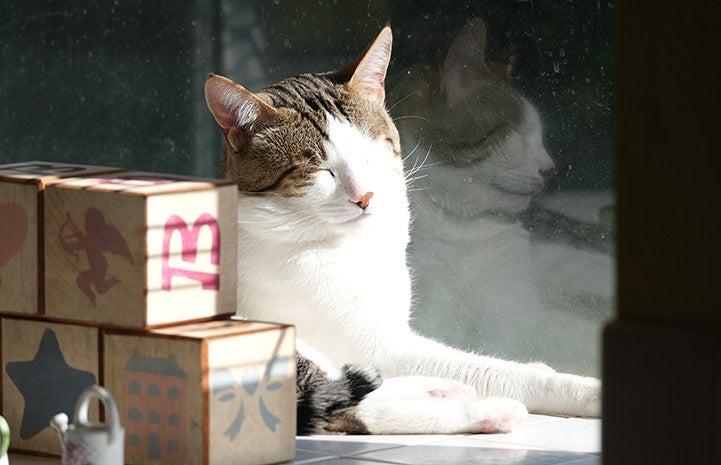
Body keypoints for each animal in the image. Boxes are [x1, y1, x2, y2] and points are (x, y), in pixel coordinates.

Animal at [205, 23, 600, 434]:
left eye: (370, 154)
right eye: (320, 170)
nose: (365, 196)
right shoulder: (379, 345)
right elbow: (503, 371)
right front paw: (585, 390)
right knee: (341, 408)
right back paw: (487, 411)